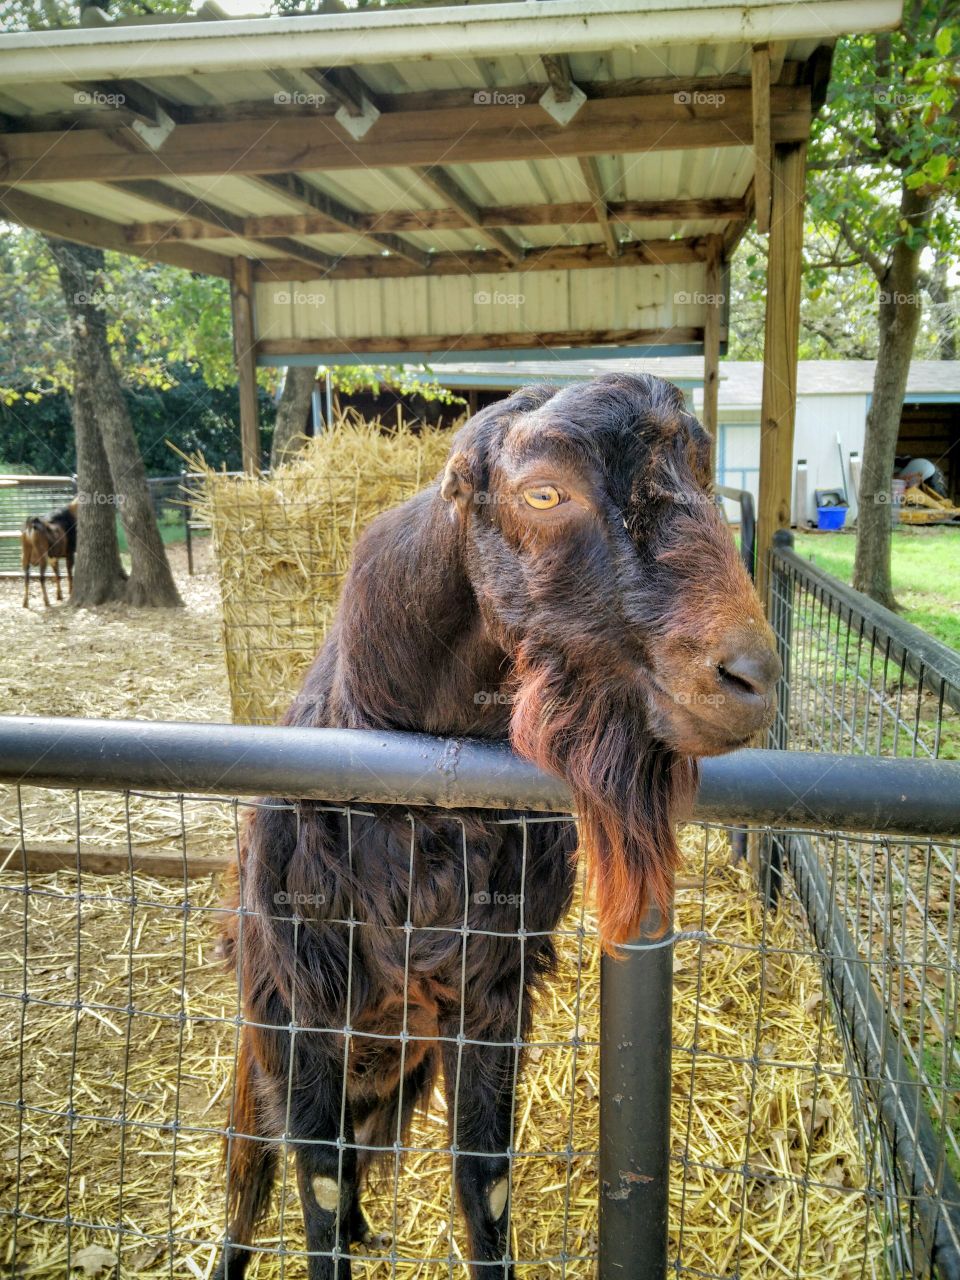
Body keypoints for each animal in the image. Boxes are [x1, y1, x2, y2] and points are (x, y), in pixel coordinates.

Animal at [215, 374, 781, 1279]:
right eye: (543, 492)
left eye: (701, 472)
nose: (749, 677)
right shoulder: (304, 1001)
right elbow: (319, 1191)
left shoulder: (490, 994)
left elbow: (484, 1183)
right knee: (251, 1166)